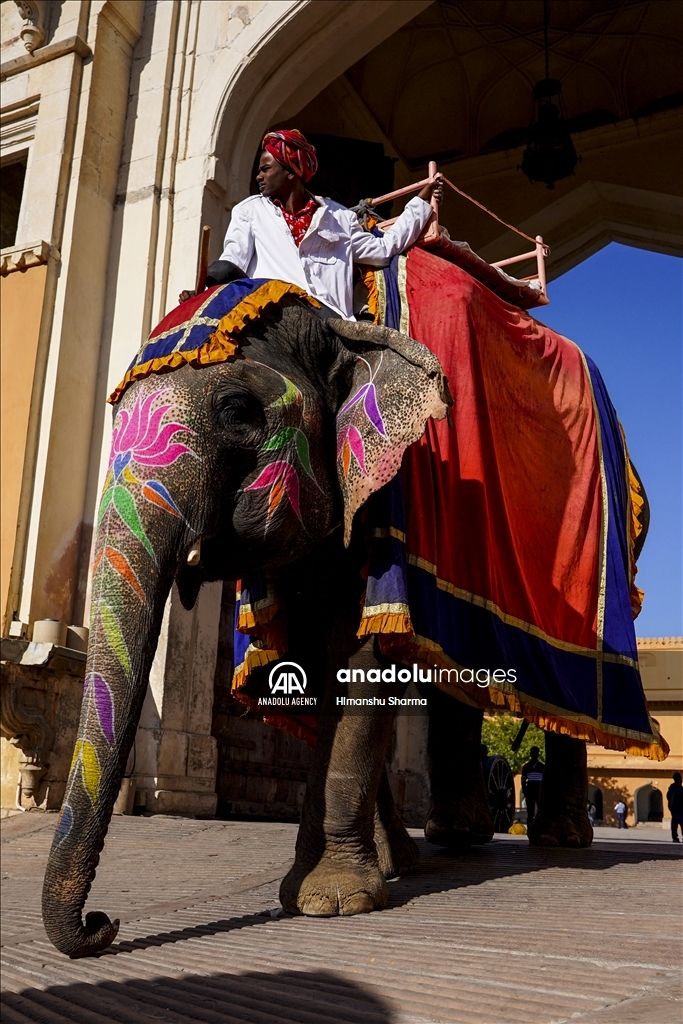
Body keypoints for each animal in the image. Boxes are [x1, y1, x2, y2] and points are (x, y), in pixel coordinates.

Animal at [38, 299, 610, 958]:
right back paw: (453, 837)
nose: (102, 923)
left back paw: (560, 840)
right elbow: (321, 672)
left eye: (237, 411)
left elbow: (360, 664)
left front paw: (331, 902)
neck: (338, 326)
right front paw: (382, 872)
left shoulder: (384, 506)